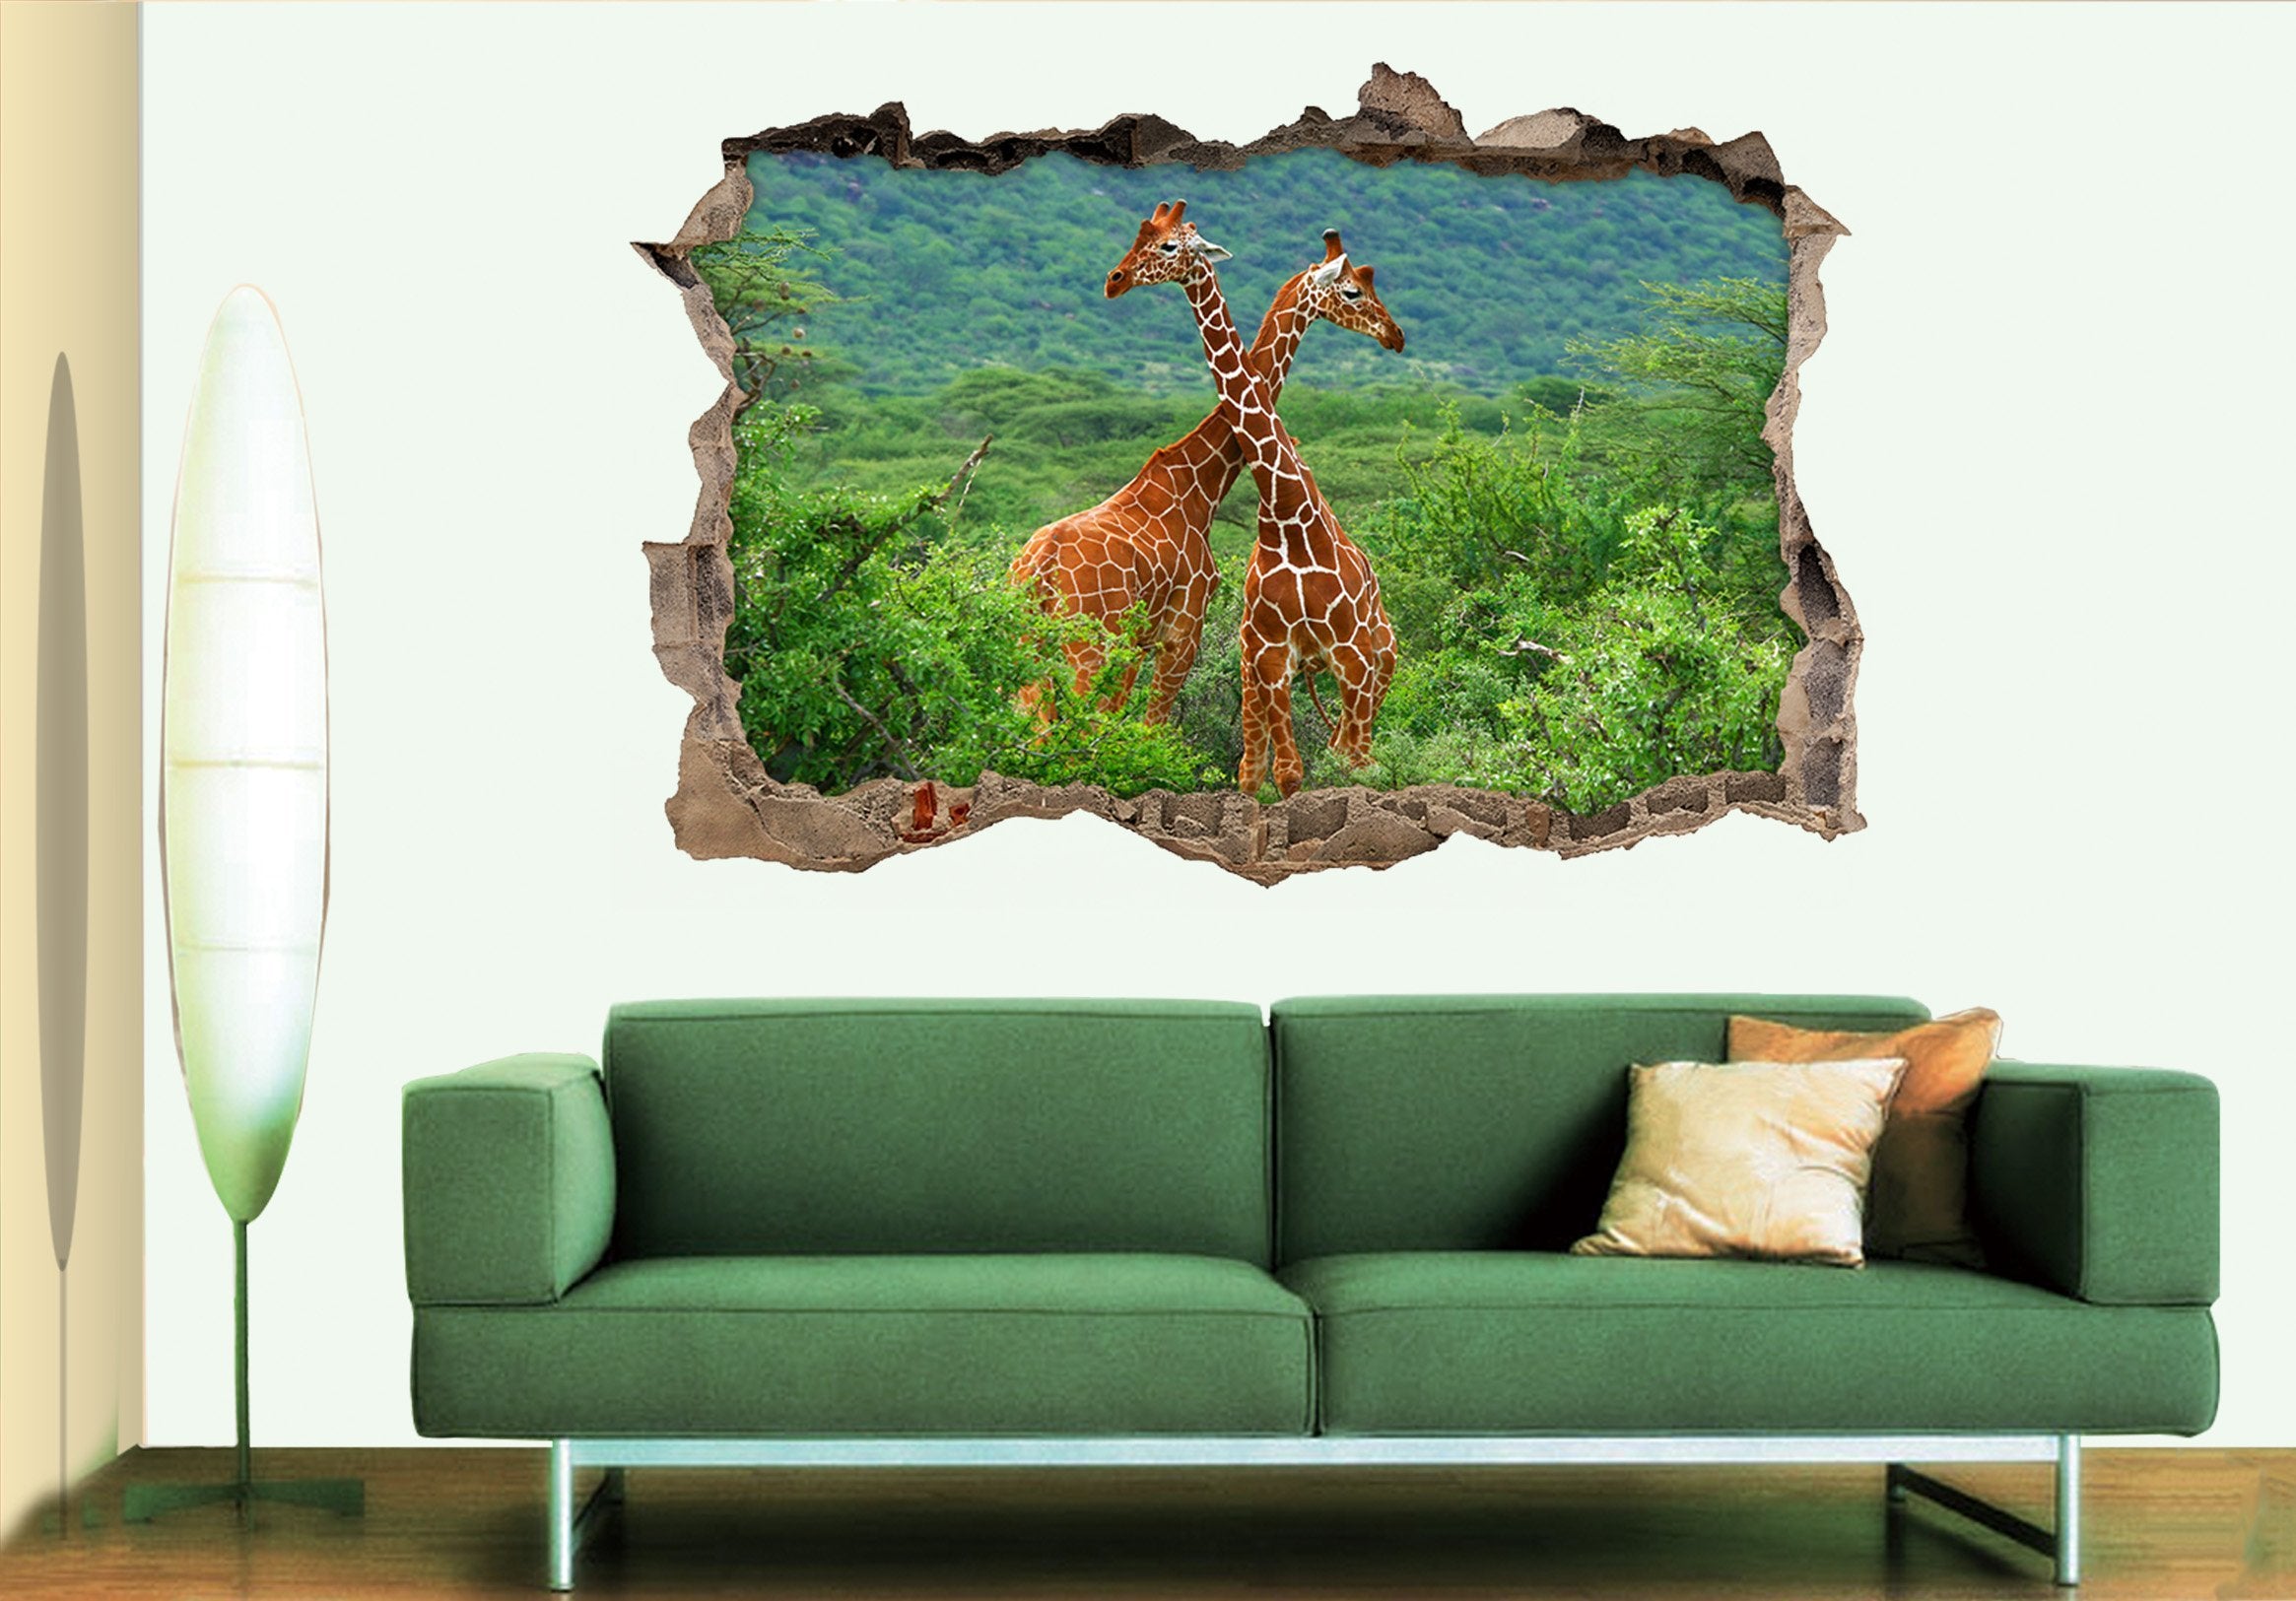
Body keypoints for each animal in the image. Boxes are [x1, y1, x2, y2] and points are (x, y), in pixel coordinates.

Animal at [1011, 233, 1404, 726]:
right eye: (1354, 291)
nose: (1395, 334)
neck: (1200, 484)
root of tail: (1038, 567)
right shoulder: (1182, 630)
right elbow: (1150, 728)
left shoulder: (1144, 640)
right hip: (1090, 644)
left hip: (1031, 641)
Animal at [1106, 201, 1399, 799]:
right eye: (1354, 290)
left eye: (1168, 245)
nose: (1396, 335)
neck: (1287, 516)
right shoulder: (1269, 654)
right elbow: (1281, 773)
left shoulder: (1350, 656)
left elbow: (1341, 766)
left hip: (1378, 661)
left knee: (1357, 753)